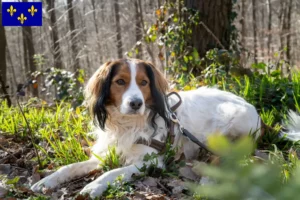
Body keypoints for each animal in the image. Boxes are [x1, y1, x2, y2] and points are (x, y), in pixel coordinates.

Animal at [30, 58, 300, 198]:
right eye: (120, 82)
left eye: (143, 82)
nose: (136, 103)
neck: (128, 124)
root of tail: (259, 115)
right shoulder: (106, 153)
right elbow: (69, 167)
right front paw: (47, 181)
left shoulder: (150, 161)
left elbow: (113, 172)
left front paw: (93, 186)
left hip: (224, 125)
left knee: (222, 159)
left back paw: (206, 182)